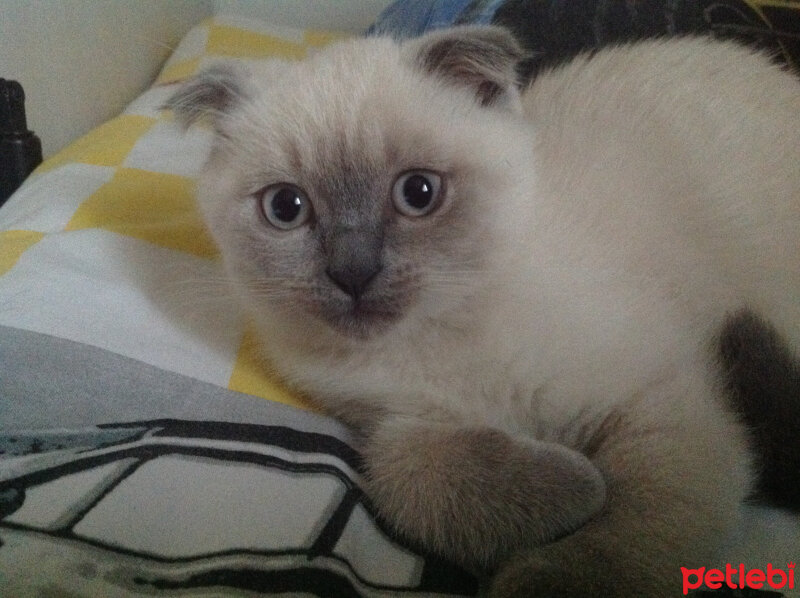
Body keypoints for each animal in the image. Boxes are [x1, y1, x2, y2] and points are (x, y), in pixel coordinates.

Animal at [169, 25, 800, 596]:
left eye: (418, 193)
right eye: (286, 207)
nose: (353, 273)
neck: (439, 337)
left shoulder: (663, 402)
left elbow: (636, 529)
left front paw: (554, 576)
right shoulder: (386, 420)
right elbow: (402, 475)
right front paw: (574, 488)